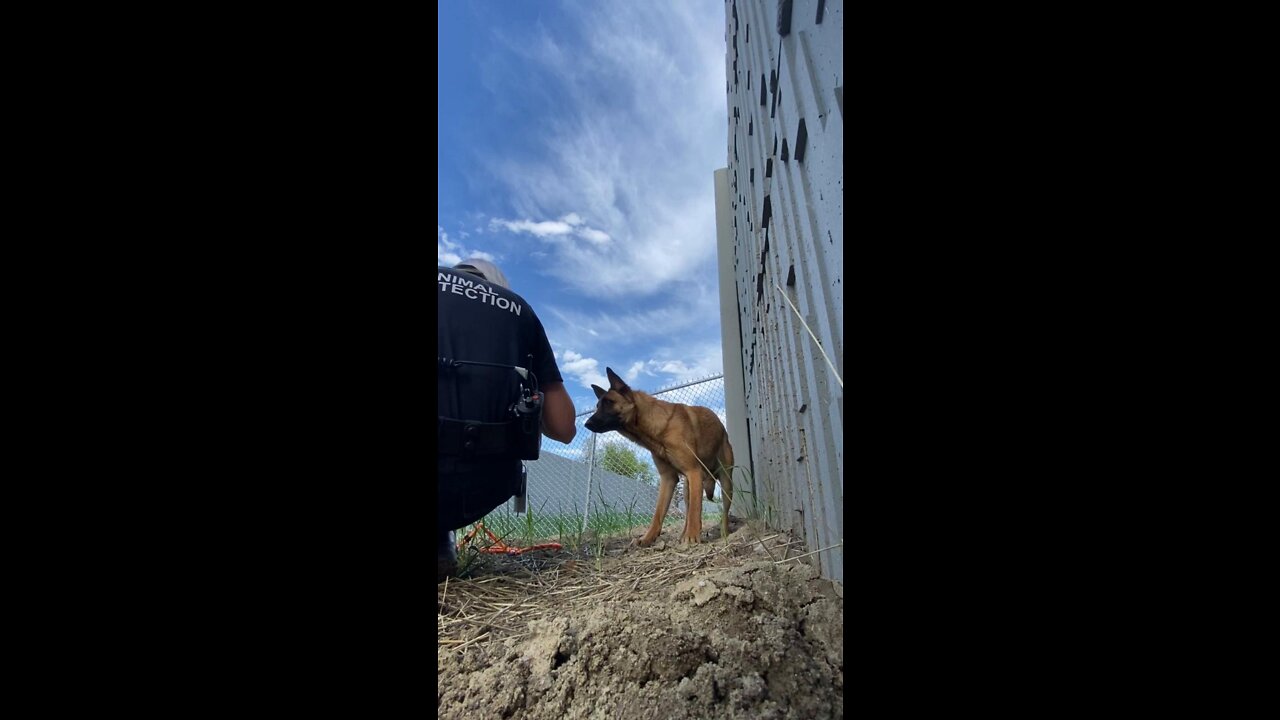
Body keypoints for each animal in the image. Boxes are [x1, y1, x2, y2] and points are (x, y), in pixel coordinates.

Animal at [586, 366, 737, 540]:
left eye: (609, 402)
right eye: (598, 405)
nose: (586, 424)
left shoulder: (693, 471)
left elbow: (695, 510)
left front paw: (691, 538)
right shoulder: (668, 479)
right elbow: (659, 513)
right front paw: (648, 538)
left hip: (725, 481)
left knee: (722, 510)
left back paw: (723, 532)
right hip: (688, 487)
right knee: (689, 511)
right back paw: (684, 533)